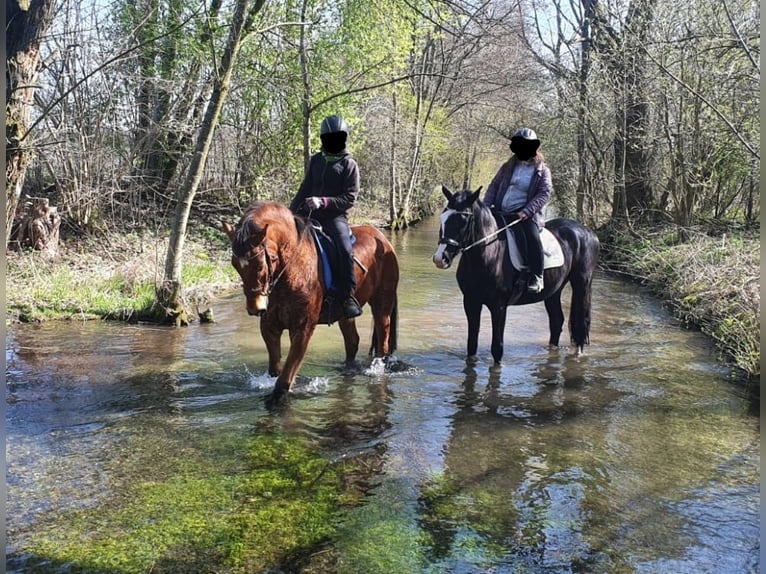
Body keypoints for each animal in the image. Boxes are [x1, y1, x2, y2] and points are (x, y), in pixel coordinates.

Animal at [222, 200, 400, 402]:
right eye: (235, 265)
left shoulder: (302, 329)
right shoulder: (270, 328)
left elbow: (284, 381)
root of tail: (383, 239)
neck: (292, 270)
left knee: (383, 339)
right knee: (352, 341)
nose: (255, 307)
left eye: (261, 264)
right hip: (345, 315)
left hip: (382, 303)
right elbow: (275, 370)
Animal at [432, 186, 600, 364]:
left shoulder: (499, 307)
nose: (440, 258)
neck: (490, 253)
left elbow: (497, 348)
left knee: (581, 323)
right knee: (556, 321)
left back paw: (578, 354)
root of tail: (588, 232)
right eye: (443, 217)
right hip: (554, 290)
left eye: (462, 220)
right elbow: (471, 345)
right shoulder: (471, 302)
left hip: (582, 285)